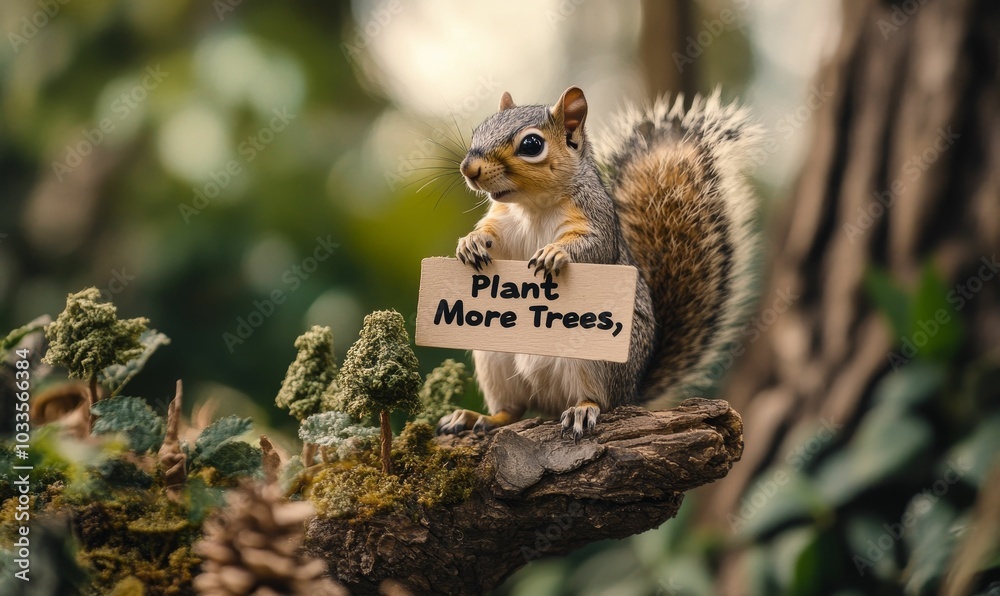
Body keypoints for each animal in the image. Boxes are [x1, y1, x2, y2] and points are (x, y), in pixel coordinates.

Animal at [436, 86, 761, 439]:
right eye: (478, 131)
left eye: (532, 145)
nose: (469, 169)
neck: (532, 206)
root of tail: (631, 391)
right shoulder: (503, 223)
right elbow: (492, 237)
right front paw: (471, 242)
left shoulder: (596, 219)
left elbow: (594, 247)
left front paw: (555, 253)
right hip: (494, 357)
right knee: (512, 408)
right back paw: (476, 417)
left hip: (596, 358)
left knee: (599, 401)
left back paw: (582, 409)